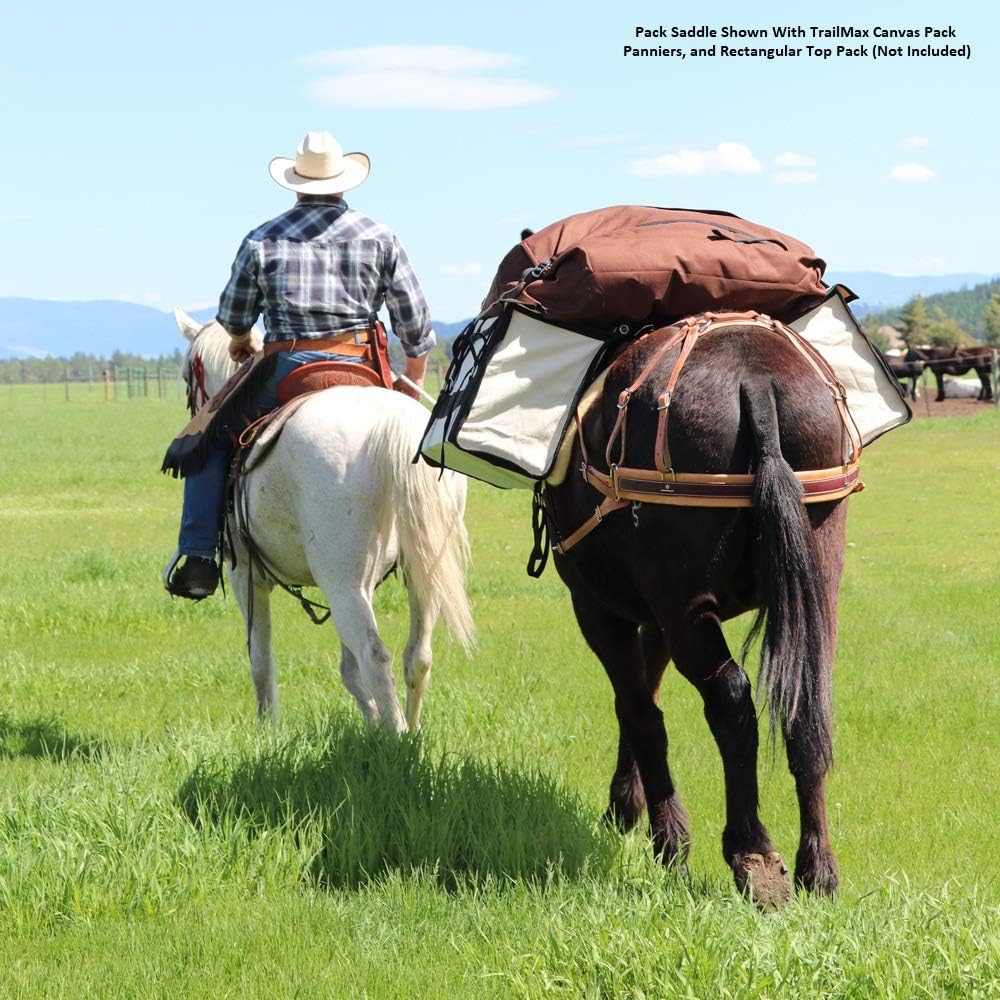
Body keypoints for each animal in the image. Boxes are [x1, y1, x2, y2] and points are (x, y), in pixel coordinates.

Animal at [172, 309, 474, 733]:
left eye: (188, 377)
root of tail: (391, 423)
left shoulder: (244, 575)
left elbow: (260, 658)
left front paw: (268, 728)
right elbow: (348, 669)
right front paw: (370, 724)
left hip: (342, 582)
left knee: (375, 656)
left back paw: (397, 739)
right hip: (418, 570)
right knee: (416, 655)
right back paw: (410, 733)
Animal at [543, 314, 855, 908]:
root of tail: (754, 382)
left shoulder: (600, 609)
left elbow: (639, 708)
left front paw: (662, 833)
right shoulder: (655, 620)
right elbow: (643, 696)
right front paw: (628, 803)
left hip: (678, 606)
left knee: (730, 702)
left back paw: (752, 852)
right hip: (816, 575)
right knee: (805, 705)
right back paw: (818, 867)